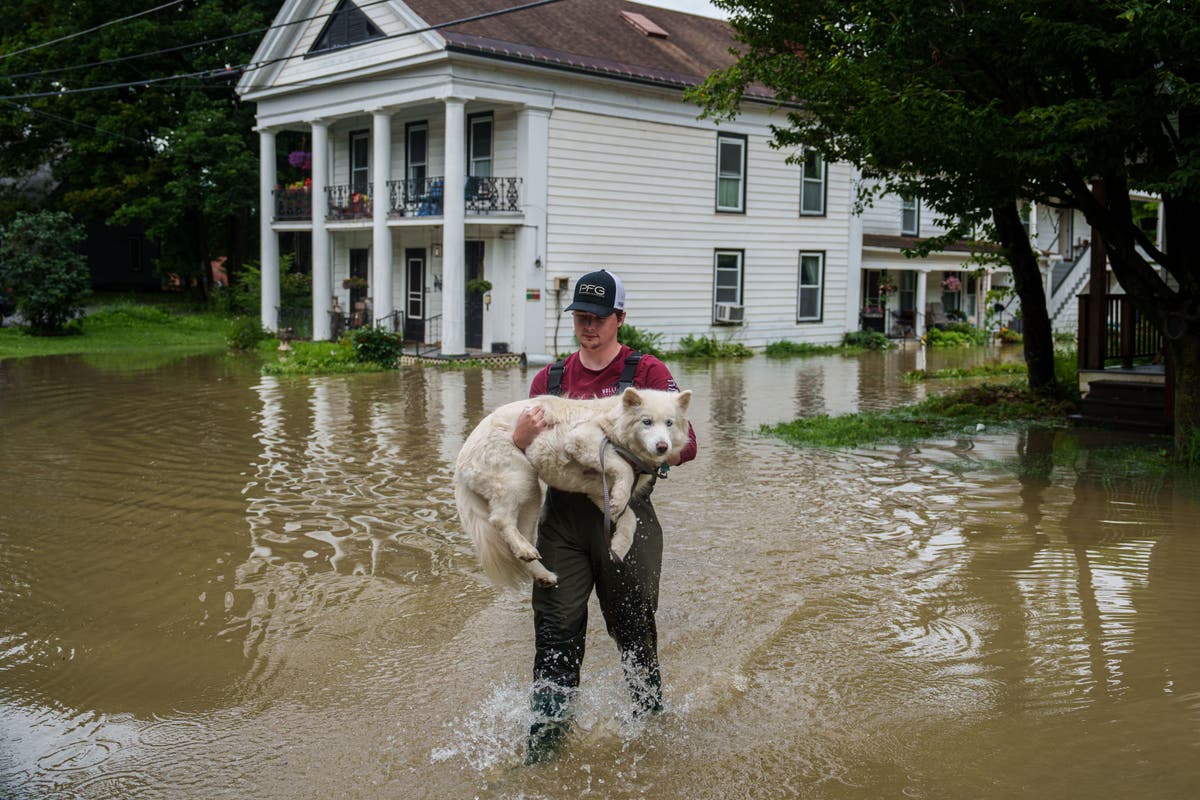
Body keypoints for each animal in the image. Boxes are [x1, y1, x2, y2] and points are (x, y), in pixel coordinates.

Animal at [451, 388, 696, 587]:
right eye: (646, 422)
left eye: (669, 423)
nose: (662, 446)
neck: (613, 424)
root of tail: (460, 462)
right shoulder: (581, 439)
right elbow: (623, 468)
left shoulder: (597, 492)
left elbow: (629, 518)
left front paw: (618, 546)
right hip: (519, 480)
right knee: (500, 520)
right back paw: (524, 549)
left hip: (530, 499)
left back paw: (541, 571)